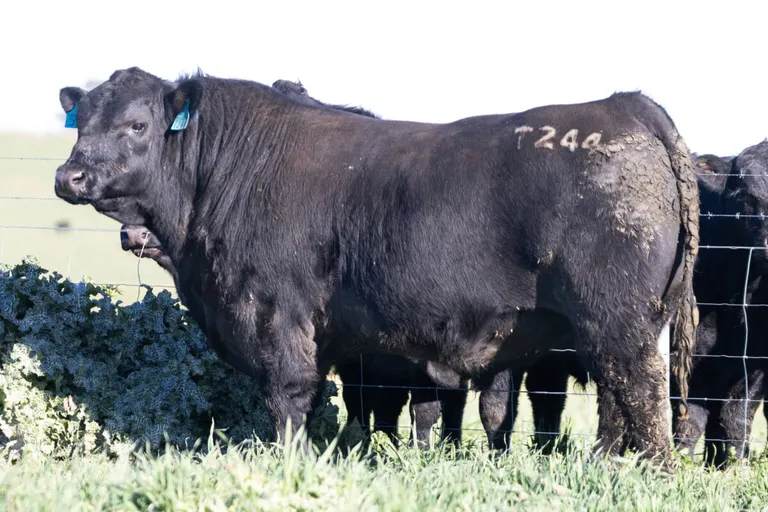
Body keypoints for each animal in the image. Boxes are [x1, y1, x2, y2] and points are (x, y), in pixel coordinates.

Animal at [54, 67, 699, 465]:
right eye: (80, 123)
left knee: (641, 394)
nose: (69, 175)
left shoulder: (275, 311)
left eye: (137, 125)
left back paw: (653, 472)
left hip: (617, 320)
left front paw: (290, 462)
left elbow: (289, 396)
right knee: (619, 400)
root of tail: (627, 106)